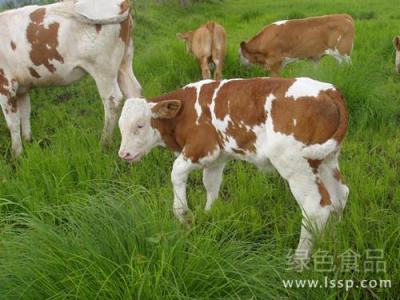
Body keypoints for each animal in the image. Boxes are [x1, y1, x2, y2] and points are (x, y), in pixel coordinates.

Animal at [0, 0, 143, 157]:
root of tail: (123, 3)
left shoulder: (5, 85)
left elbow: (13, 122)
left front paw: (16, 154)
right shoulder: (22, 87)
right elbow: (25, 114)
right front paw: (28, 141)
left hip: (103, 68)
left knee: (113, 100)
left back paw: (104, 144)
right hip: (124, 62)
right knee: (134, 91)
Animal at [117, 77, 348, 262]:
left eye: (139, 125)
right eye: (120, 127)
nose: (123, 154)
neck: (186, 111)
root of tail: (327, 90)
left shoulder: (201, 148)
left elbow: (176, 173)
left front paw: (183, 216)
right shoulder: (217, 157)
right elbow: (210, 184)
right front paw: (208, 214)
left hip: (297, 166)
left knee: (315, 209)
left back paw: (298, 263)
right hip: (326, 160)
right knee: (339, 196)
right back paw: (332, 240)